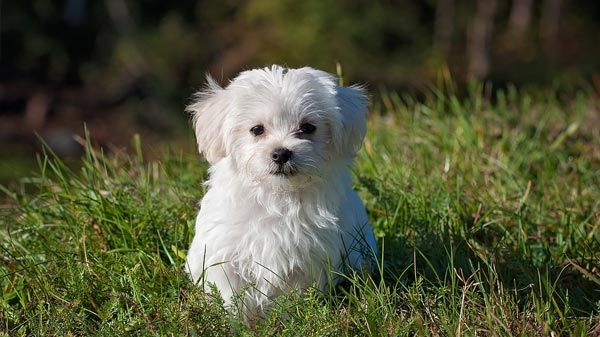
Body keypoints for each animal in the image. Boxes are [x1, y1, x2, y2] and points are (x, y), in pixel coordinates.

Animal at [185, 64, 378, 316]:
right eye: (256, 130)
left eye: (307, 127)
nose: (281, 153)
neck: (277, 195)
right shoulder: (224, 253)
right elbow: (231, 294)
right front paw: (236, 320)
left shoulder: (307, 259)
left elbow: (293, 296)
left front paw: (290, 317)